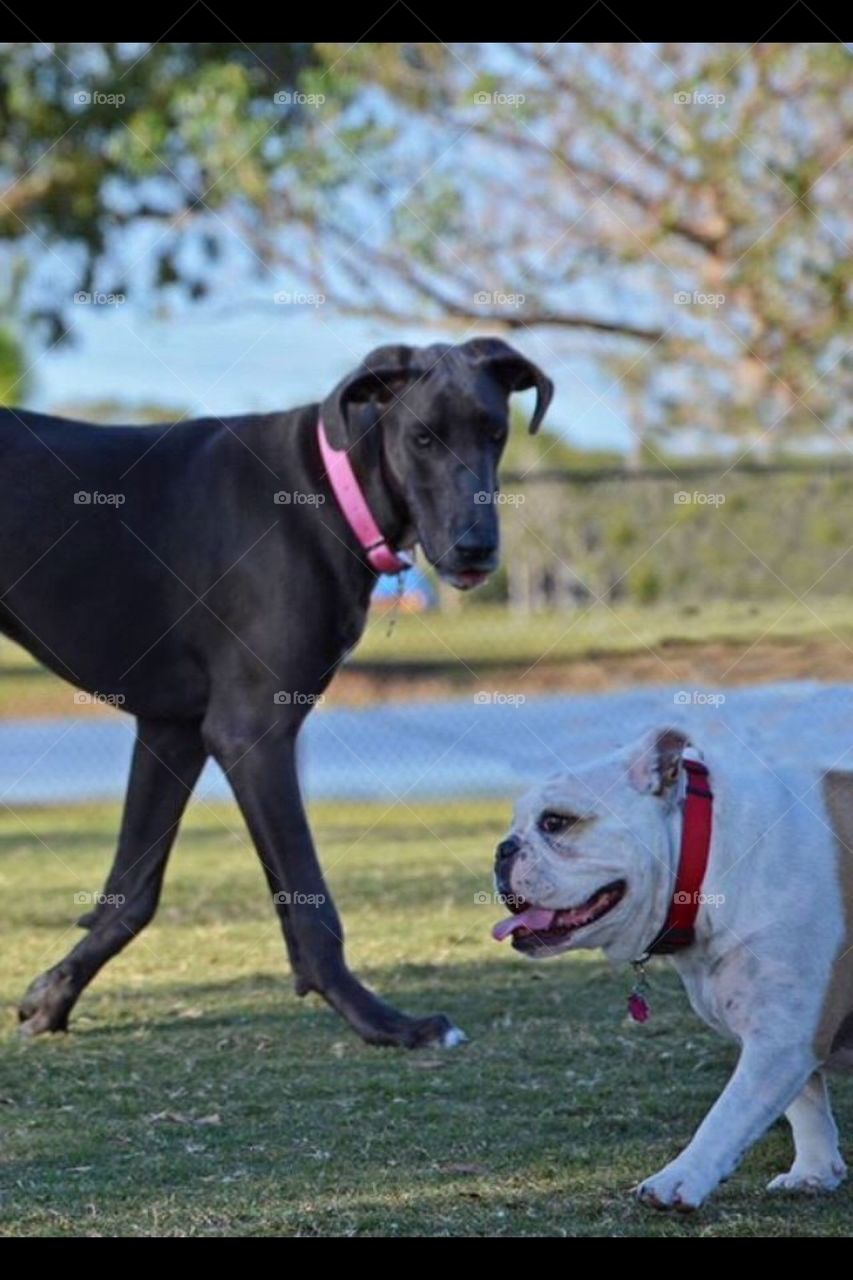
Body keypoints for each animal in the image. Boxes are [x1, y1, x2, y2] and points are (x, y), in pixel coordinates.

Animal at [1, 337, 550, 1049]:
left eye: (495, 433)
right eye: (422, 438)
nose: (476, 549)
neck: (329, 489)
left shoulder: (172, 730)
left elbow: (132, 891)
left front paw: (54, 994)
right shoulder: (251, 732)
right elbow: (312, 905)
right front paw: (381, 1020)